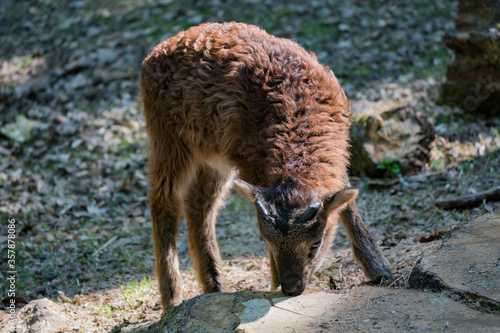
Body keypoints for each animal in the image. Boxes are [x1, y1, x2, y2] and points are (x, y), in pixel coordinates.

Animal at [142, 21, 394, 312]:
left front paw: (381, 271)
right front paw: (273, 285)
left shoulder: (336, 159)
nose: (291, 288)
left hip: (213, 158)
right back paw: (172, 299)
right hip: (169, 139)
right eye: (265, 240)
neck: (295, 113)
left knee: (200, 206)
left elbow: (349, 209)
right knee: (164, 201)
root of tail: (155, 52)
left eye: (315, 244)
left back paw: (215, 287)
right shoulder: (251, 164)